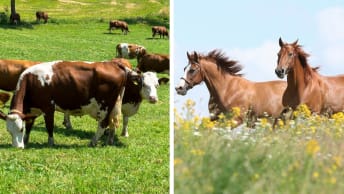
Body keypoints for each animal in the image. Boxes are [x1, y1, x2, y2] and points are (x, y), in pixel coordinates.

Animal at [0, 59, 136, 148]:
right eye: (8, 131)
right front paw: (26, 140)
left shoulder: (48, 108)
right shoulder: (31, 109)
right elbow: (30, 125)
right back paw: (109, 141)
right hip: (114, 106)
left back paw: (93, 142)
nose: (17, 147)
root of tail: (114, 64)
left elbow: (49, 126)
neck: (32, 81)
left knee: (103, 124)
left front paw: (50, 143)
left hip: (104, 106)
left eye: (20, 129)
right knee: (113, 123)